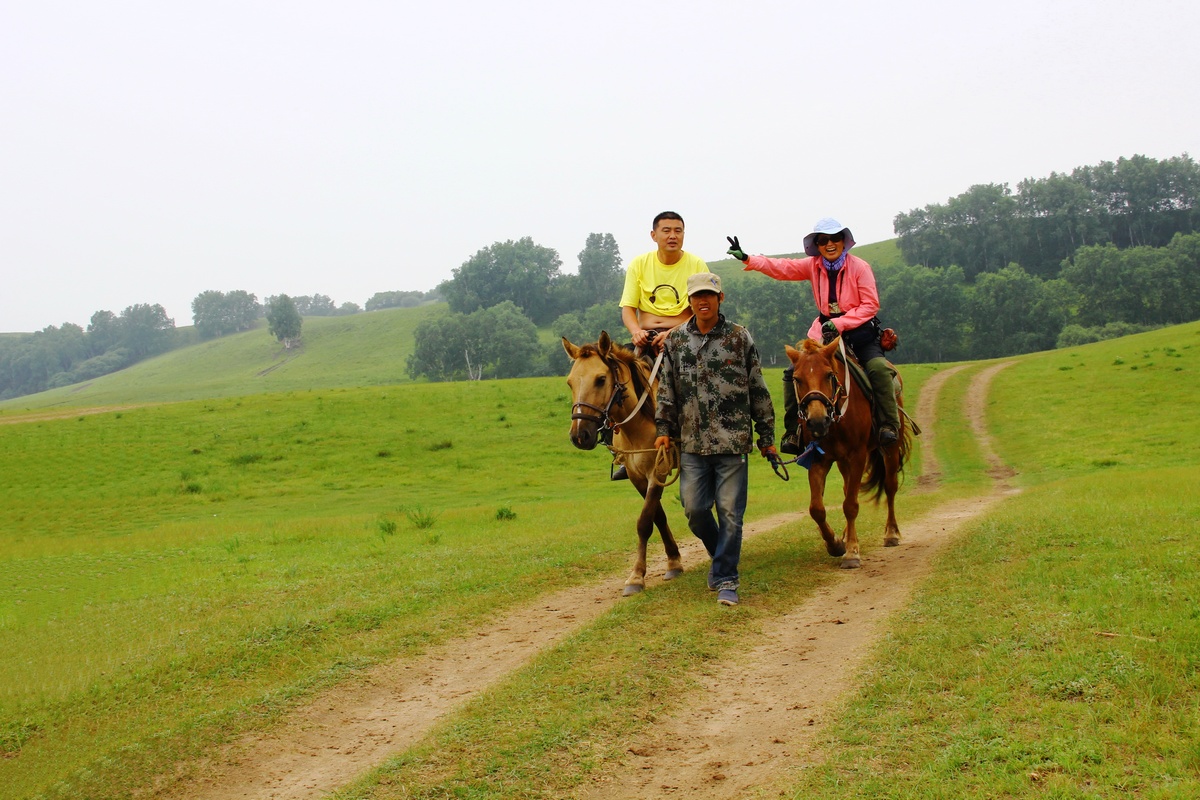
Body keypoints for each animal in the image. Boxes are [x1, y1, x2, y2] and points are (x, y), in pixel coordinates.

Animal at [564, 331, 686, 594]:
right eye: (570, 382)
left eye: (601, 379)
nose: (580, 435)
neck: (637, 424)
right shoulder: (636, 477)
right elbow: (657, 517)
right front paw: (673, 561)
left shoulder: (658, 472)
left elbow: (644, 522)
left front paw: (636, 577)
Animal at [782, 338, 912, 568]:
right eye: (796, 379)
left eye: (829, 375)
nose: (817, 421)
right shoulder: (818, 458)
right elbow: (817, 509)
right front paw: (835, 544)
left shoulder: (857, 456)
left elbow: (851, 505)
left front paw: (851, 552)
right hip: (843, 462)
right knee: (847, 489)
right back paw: (845, 535)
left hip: (890, 447)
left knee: (889, 487)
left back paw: (891, 534)